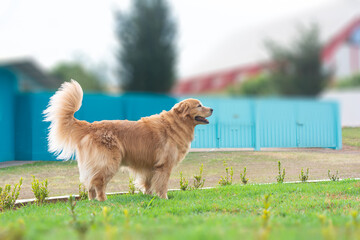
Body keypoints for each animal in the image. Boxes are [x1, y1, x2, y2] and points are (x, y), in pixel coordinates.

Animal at [44, 80, 214, 201]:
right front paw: (164, 198)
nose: (212, 109)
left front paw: (149, 196)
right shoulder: (164, 165)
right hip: (109, 162)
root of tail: (91, 126)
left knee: (90, 183)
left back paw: (92, 201)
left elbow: (148, 183)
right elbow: (162, 184)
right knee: (98, 182)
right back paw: (102, 200)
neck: (175, 123)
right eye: (199, 105)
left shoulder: (149, 166)